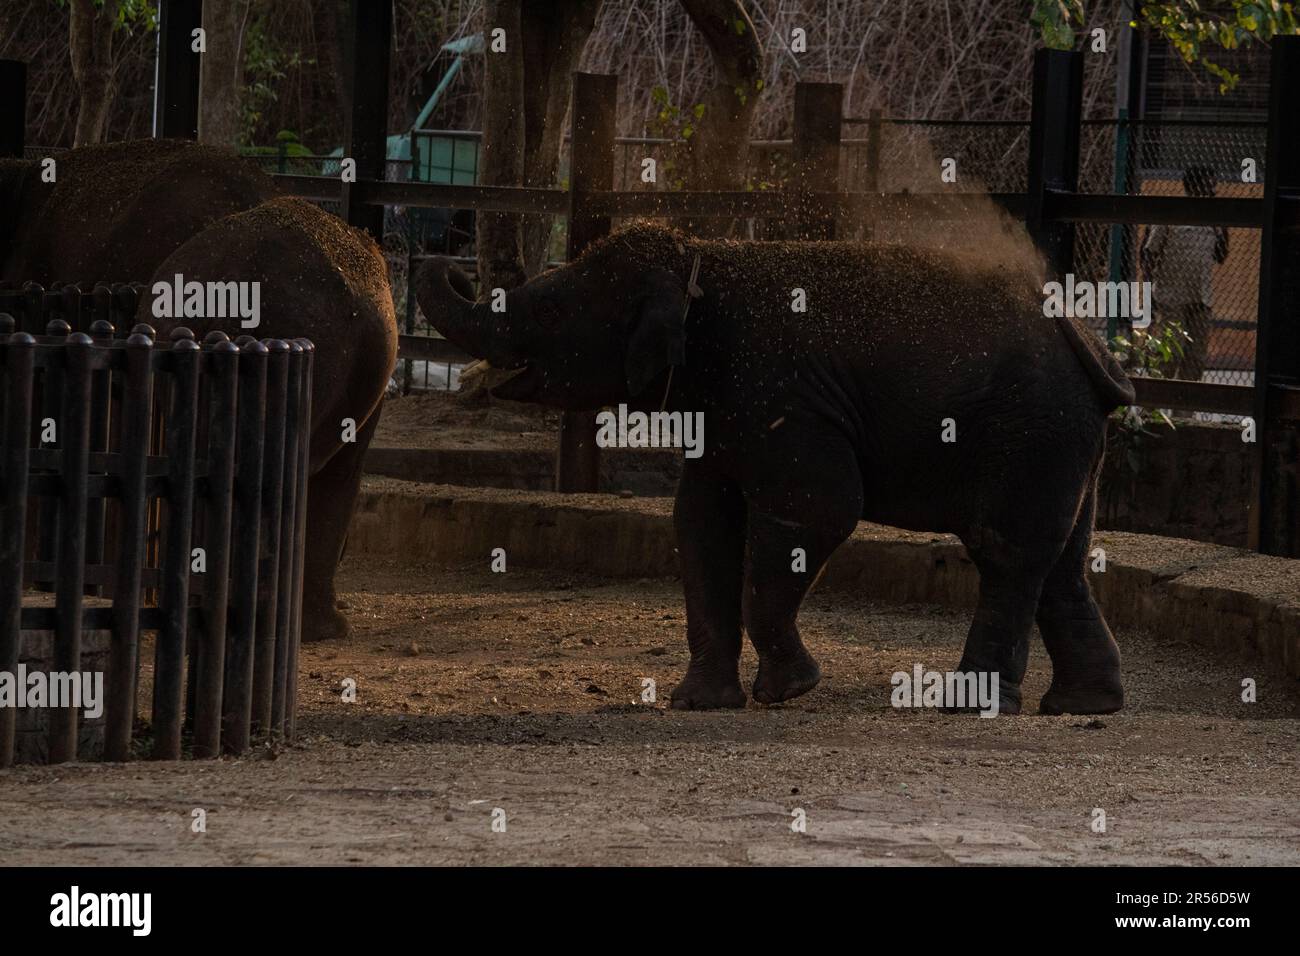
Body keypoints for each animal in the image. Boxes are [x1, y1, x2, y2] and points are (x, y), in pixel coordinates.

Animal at [415, 221, 1135, 715]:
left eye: (549, 310)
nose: (452, 264)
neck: (702, 260)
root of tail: (1088, 340)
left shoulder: (782, 395)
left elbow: (820, 509)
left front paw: (790, 690)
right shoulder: (723, 412)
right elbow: (700, 522)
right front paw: (698, 702)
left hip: (1029, 433)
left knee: (1005, 554)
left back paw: (972, 707)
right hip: (1065, 441)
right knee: (1061, 560)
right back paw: (1082, 705)